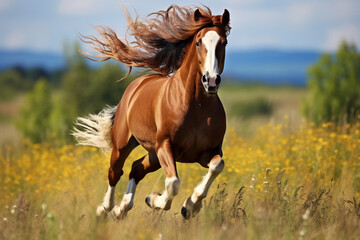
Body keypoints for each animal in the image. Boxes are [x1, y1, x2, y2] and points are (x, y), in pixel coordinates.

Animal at [73, 5, 231, 219]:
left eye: (224, 42)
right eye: (198, 42)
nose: (211, 81)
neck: (198, 106)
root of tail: (137, 85)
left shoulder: (209, 152)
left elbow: (217, 166)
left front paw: (190, 206)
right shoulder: (165, 145)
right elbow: (173, 183)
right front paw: (155, 200)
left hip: (153, 155)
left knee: (136, 169)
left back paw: (121, 209)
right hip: (124, 145)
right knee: (115, 172)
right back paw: (105, 209)